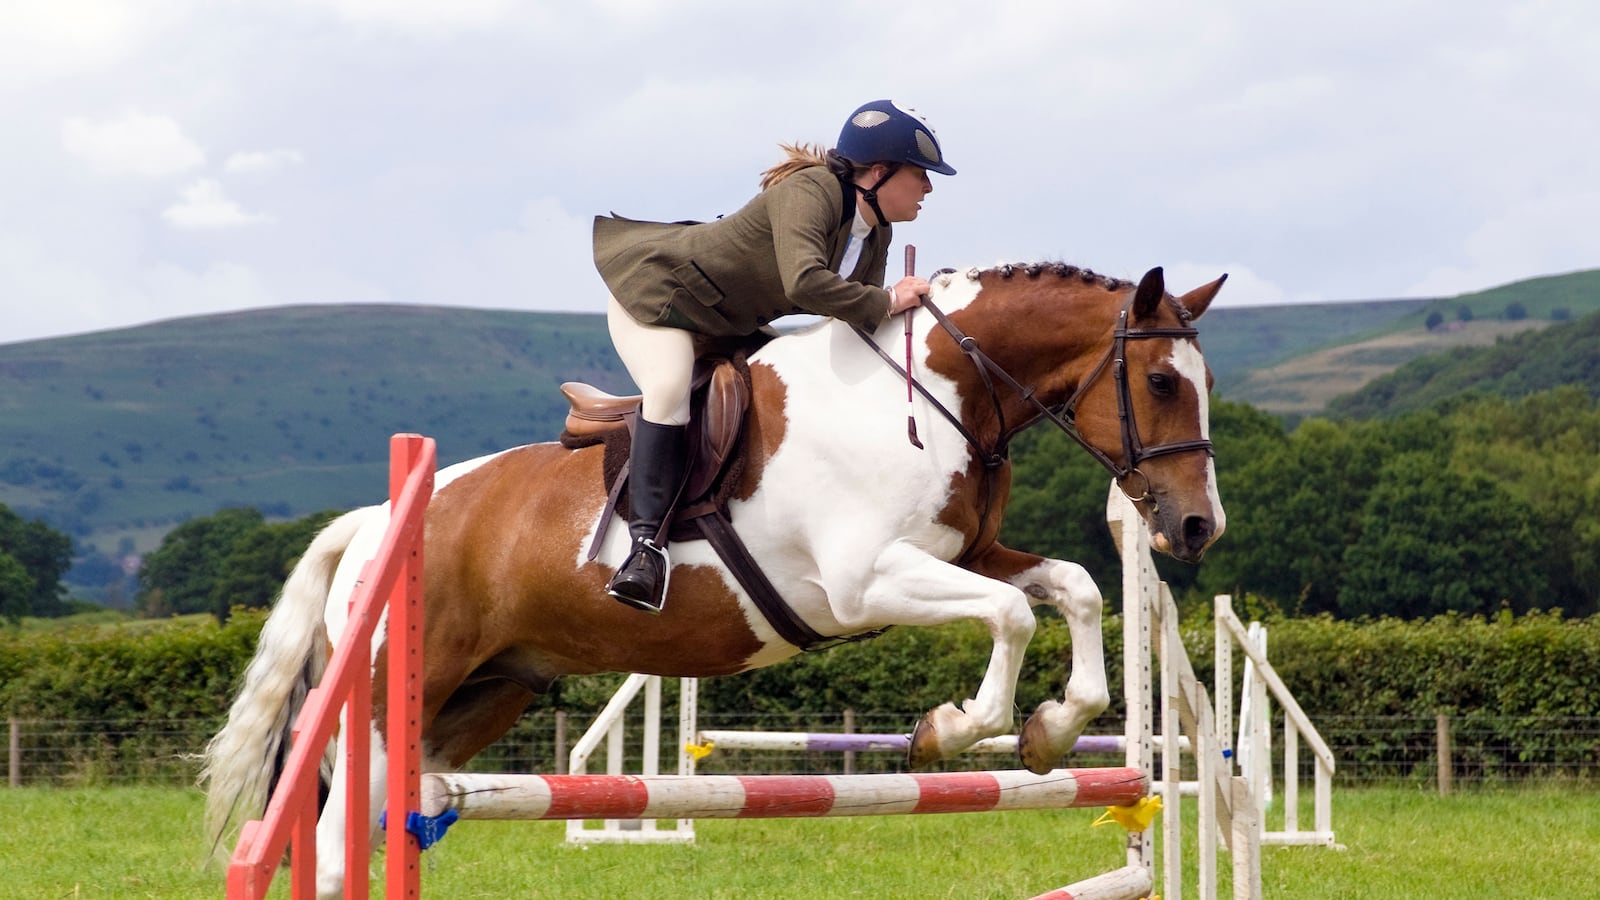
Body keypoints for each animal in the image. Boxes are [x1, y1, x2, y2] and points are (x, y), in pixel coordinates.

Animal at [202, 261, 1226, 897]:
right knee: (336, 843)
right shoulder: (866, 581)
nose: (1195, 527)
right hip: (392, 695)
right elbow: (1013, 613)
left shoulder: (961, 554)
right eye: (1162, 383)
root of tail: (377, 520)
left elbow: (1074, 587)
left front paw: (1052, 730)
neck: (937, 392)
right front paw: (951, 730)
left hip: (481, 699)